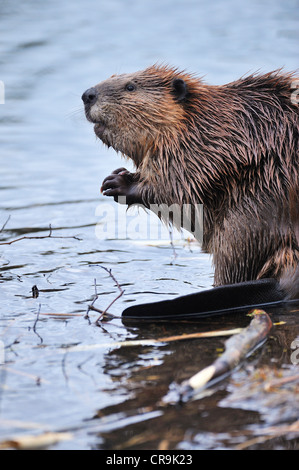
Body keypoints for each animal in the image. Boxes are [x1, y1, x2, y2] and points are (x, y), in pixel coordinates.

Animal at [82, 65, 299, 320]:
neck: (202, 118)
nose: (88, 95)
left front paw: (116, 182)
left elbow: (177, 187)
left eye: (130, 87)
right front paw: (116, 175)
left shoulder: (203, 145)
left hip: (246, 218)